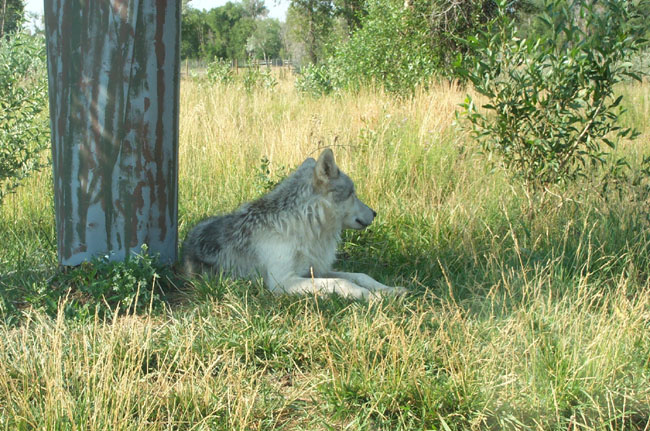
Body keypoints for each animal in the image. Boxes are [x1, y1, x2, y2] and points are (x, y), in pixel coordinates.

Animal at [182, 148, 405, 299]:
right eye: (353, 194)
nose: (375, 213)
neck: (302, 227)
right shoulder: (283, 282)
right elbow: (342, 282)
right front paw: (373, 297)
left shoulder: (315, 270)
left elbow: (359, 275)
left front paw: (389, 290)